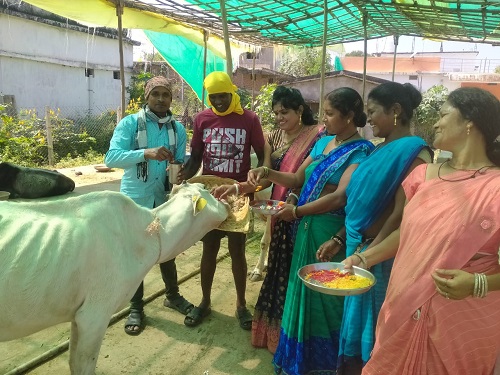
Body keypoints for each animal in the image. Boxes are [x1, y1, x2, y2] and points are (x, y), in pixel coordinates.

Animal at [0, 181, 229, 374]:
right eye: (208, 191)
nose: (225, 198)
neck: (150, 236)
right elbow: (83, 365)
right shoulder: (95, 313)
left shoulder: (78, 315)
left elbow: (73, 361)